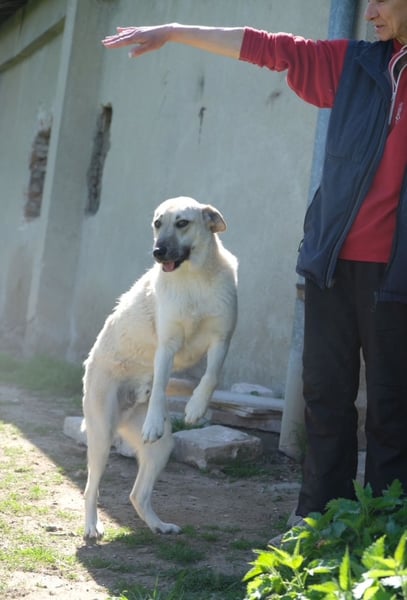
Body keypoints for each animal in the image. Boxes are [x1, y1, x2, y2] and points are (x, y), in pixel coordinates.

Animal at [82, 196, 238, 538]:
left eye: (182, 223)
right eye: (157, 223)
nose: (157, 252)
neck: (194, 280)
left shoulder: (222, 339)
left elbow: (212, 375)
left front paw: (195, 408)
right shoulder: (166, 346)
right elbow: (160, 390)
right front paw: (155, 420)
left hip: (163, 448)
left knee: (137, 494)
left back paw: (158, 525)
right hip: (101, 437)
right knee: (90, 489)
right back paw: (91, 526)